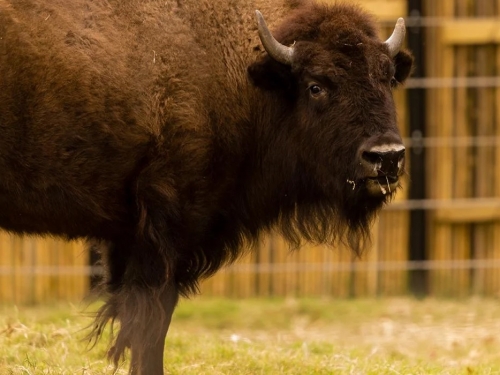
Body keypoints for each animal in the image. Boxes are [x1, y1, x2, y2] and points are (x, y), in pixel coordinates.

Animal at [0, 0, 412, 374]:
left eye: (387, 78)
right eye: (315, 86)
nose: (386, 156)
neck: (245, 78)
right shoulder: (166, 233)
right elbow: (150, 325)